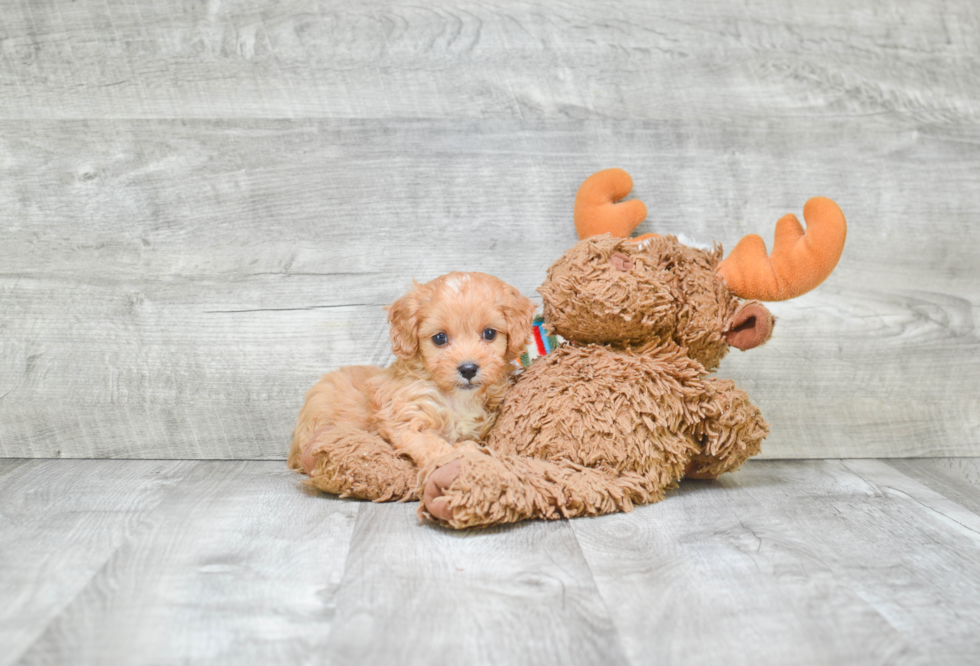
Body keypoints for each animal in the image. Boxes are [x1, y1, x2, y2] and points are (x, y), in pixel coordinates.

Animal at [290, 270, 536, 498]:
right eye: (439, 338)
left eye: (489, 333)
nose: (468, 369)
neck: (456, 399)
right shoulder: (407, 419)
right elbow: (435, 446)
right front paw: (458, 457)